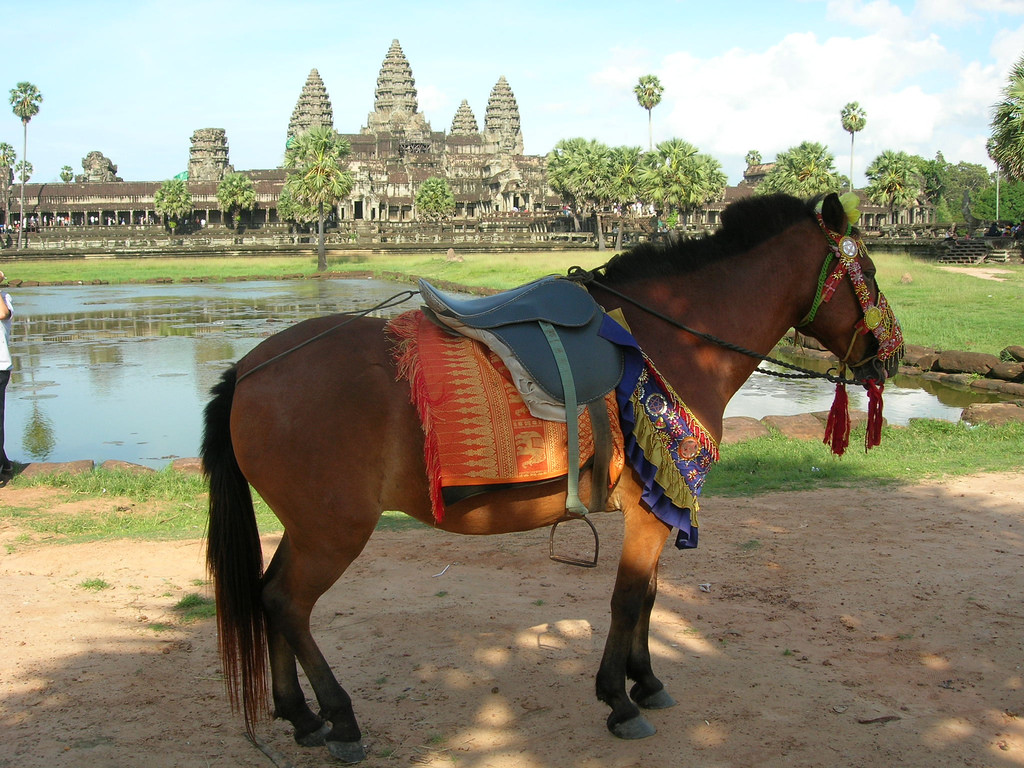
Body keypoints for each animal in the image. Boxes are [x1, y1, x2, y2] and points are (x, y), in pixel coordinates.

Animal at [203, 192, 901, 765]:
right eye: (867, 274)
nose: (890, 357)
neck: (675, 338)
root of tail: (250, 368)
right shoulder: (649, 510)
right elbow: (628, 598)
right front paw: (619, 700)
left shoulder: (658, 502)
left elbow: (650, 596)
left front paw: (647, 681)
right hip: (335, 528)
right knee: (288, 602)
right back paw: (340, 719)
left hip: (307, 525)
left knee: (267, 595)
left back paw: (301, 717)